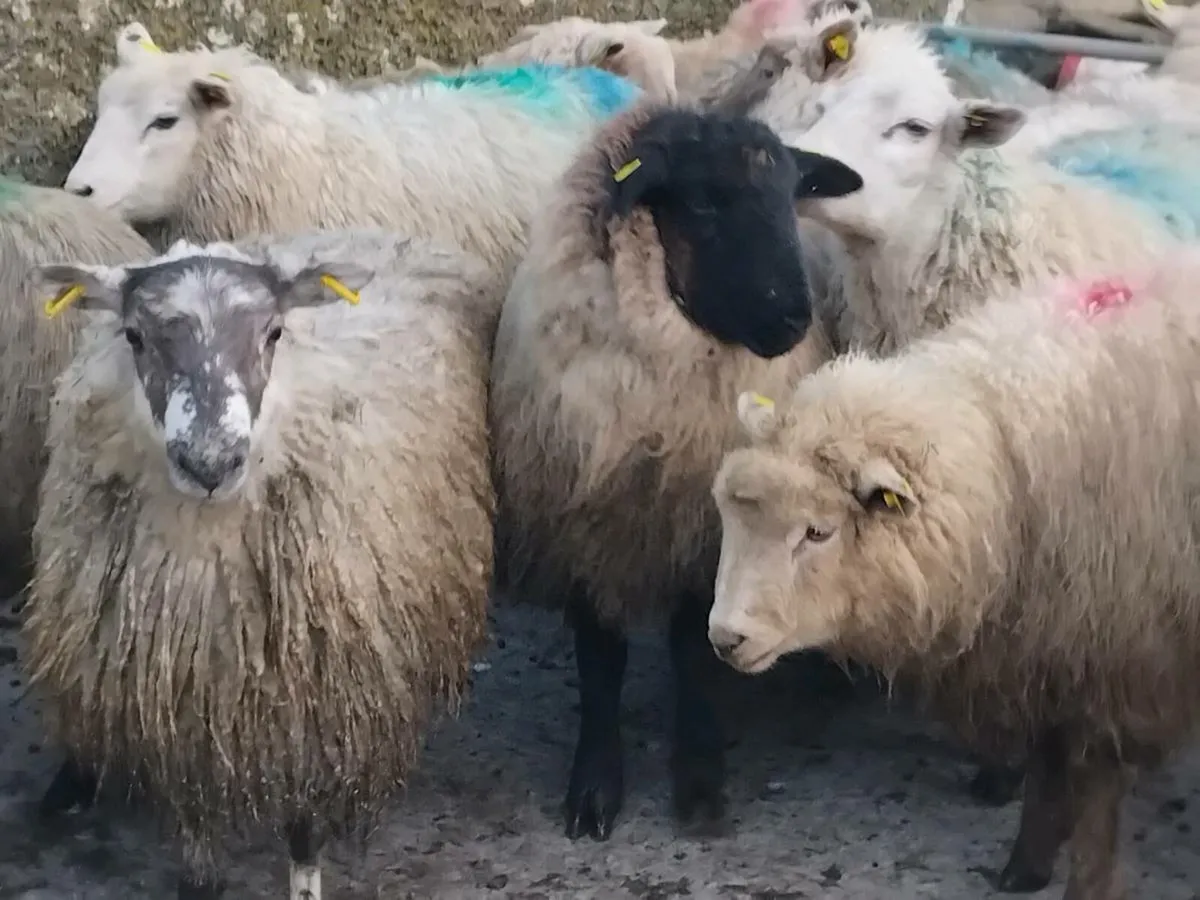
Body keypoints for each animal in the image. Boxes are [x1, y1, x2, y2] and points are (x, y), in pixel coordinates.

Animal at [24, 230, 497, 899]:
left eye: (274, 332)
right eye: (134, 336)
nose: (210, 462)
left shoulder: (316, 702)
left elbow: (303, 834)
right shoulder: (173, 702)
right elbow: (194, 832)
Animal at [490, 101, 862, 841]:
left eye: (792, 194)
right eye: (704, 201)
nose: (792, 317)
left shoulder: (702, 531)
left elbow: (695, 654)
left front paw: (698, 780)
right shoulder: (586, 526)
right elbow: (600, 662)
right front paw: (594, 789)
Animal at [707, 248, 1200, 899]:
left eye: (817, 532)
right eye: (730, 516)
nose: (725, 638)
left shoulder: (1120, 652)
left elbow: (1095, 794)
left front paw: (1085, 883)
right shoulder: (1049, 642)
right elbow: (1047, 761)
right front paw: (1026, 864)